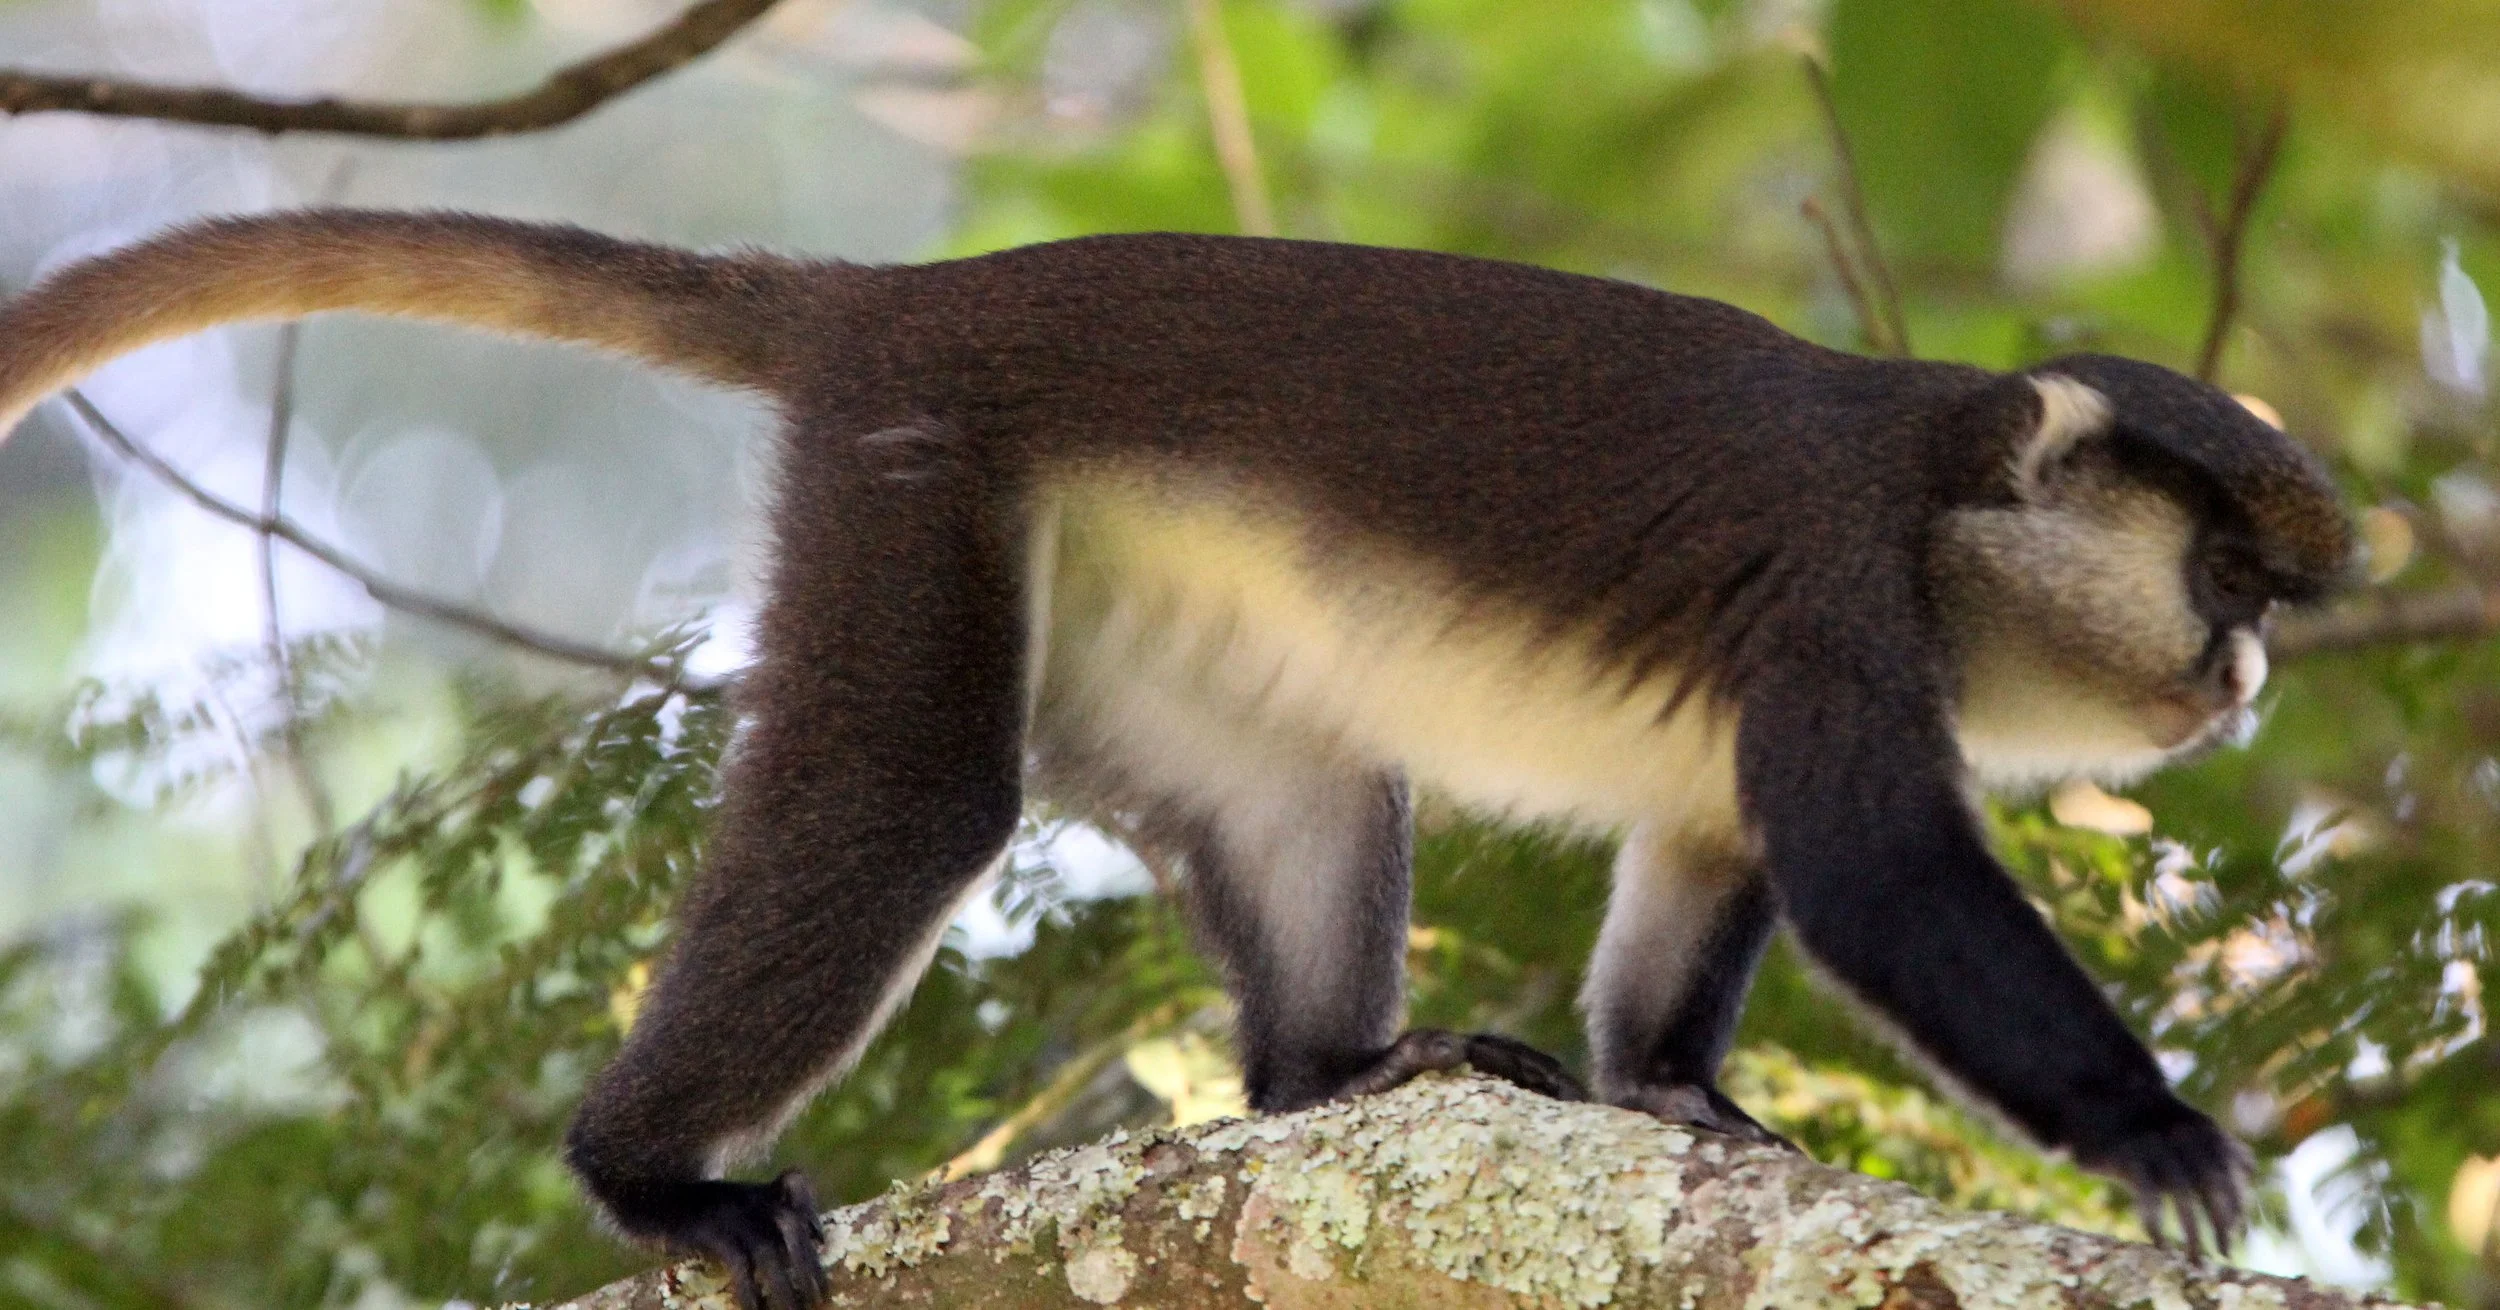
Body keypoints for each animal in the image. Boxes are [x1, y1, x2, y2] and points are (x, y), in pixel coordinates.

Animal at [0, 211, 2352, 1310]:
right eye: (2223, 569)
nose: (2243, 672)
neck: (1946, 508)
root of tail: (901, 292)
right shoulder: (1838, 598)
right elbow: (1871, 865)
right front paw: (2153, 1134)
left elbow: (1709, 868)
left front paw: (1673, 1096)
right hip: (917, 469)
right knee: (908, 794)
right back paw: (651, 1176)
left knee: (1306, 782)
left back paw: (1328, 1076)